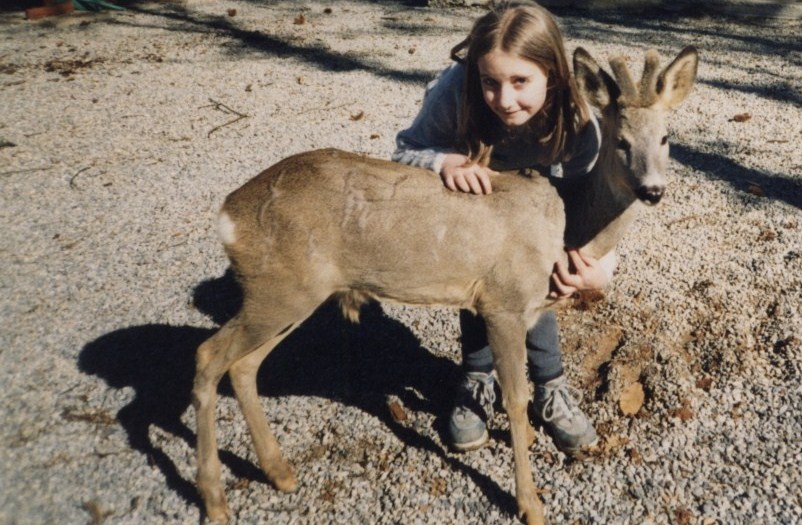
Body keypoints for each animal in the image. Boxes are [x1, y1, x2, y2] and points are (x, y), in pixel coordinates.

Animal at [191, 46, 696, 524]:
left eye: (666, 138)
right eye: (620, 140)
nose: (652, 190)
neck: (565, 224)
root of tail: (228, 215)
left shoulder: (527, 305)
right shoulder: (503, 301)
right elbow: (514, 399)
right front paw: (530, 504)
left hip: (288, 294)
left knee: (243, 366)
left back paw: (280, 473)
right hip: (280, 288)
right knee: (209, 355)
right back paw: (215, 500)